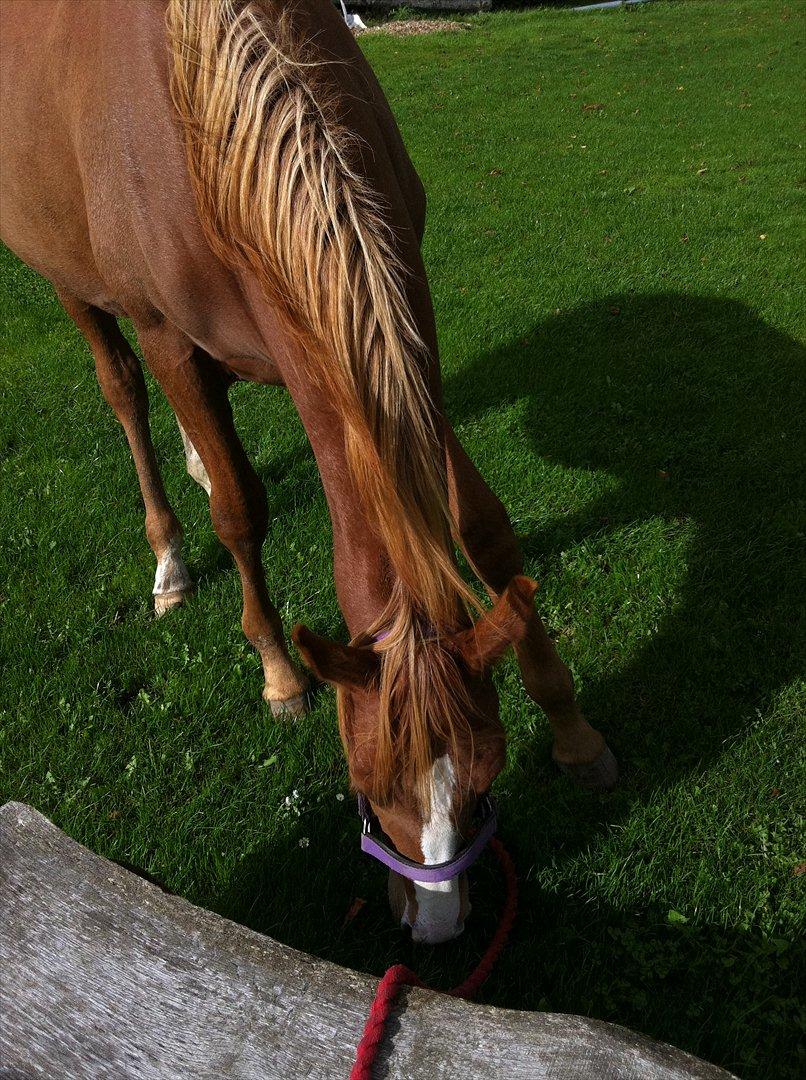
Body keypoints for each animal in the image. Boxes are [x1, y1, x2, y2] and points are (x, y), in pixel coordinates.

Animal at [0, 0, 613, 941]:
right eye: (363, 785)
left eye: (485, 779)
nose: (436, 925)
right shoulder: (169, 336)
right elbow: (242, 511)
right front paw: (279, 670)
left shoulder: (399, 326)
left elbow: (480, 525)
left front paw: (573, 727)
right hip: (77, 288)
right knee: (126, 395)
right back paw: (169, 558)